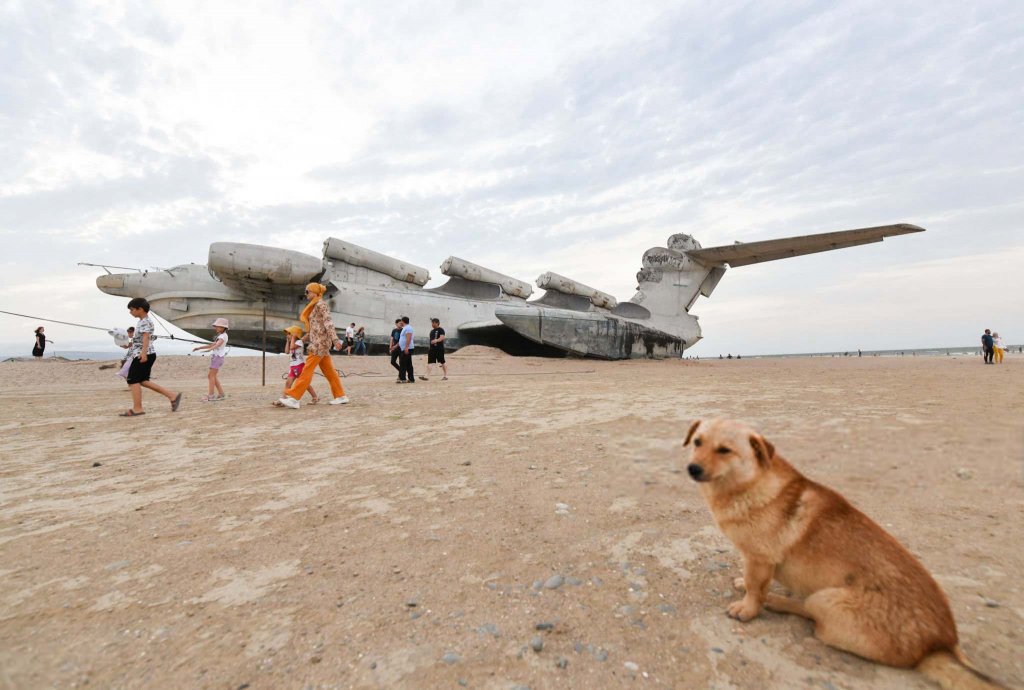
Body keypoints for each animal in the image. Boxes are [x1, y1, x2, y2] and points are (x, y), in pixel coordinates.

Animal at [684, 415, 1003, 687]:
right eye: (697, 442)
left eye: (724, 450)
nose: (692, 469)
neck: (749, 483)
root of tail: (939, 646)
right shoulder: (754, 559)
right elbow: (749, 580)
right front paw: (744, 585)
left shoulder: (759, 559)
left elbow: (755, 587)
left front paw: (748, 609)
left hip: (827, 600)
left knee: (809, 613)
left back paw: (775, 601)